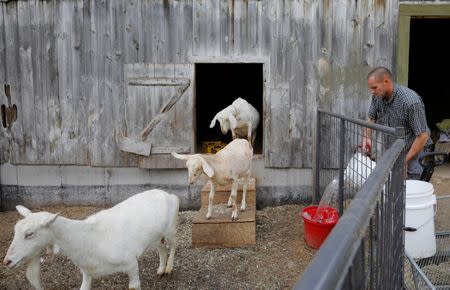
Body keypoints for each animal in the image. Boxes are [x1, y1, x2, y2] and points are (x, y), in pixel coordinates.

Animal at [3, 189, 179, 290]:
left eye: (30, 234)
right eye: (15, 230)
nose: (7, 261)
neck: (90, 238)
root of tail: (169, 195)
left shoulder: (131, 264)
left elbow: (134, 285)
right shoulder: (87, 273)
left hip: (170, 229)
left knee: (174, 244)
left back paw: (169, 268)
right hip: (155, 237)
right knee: (162, 248)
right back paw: (160, 270)